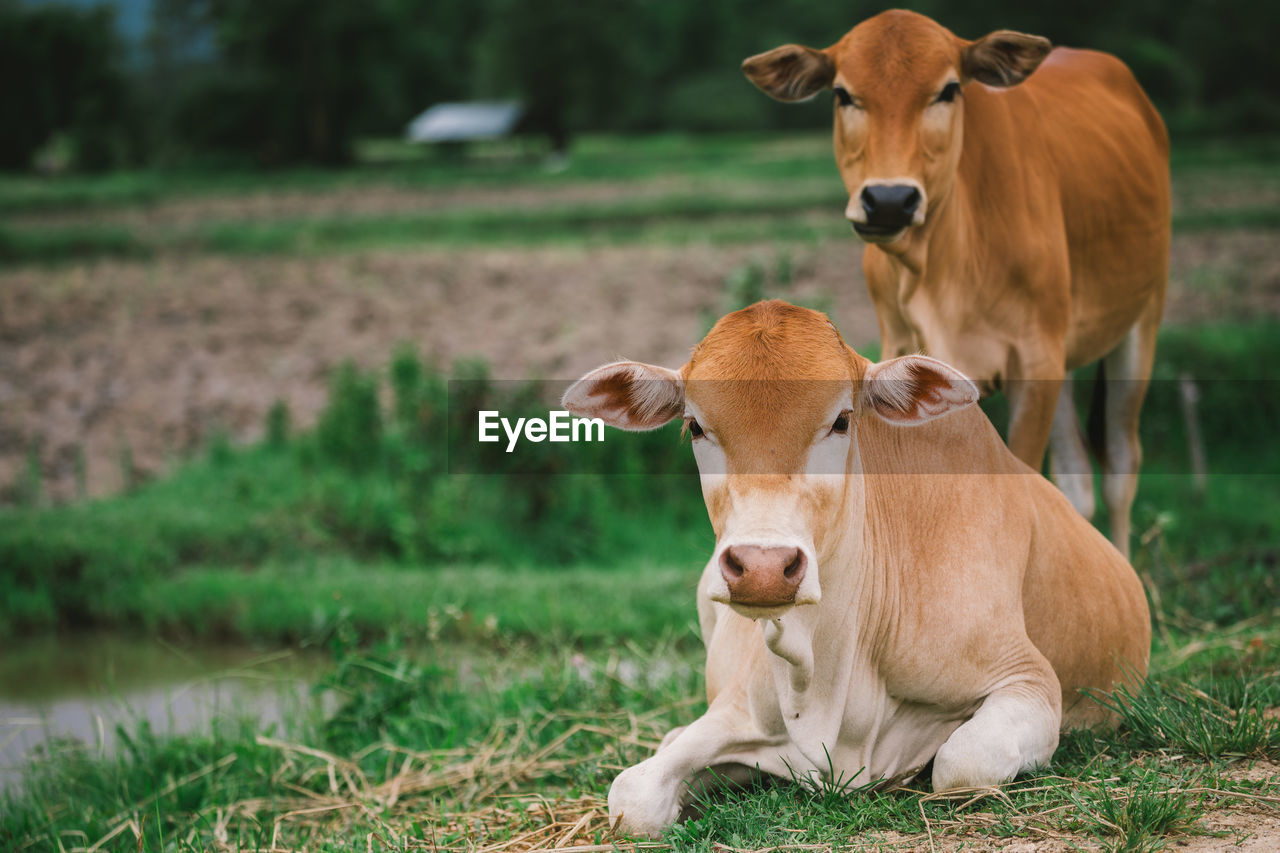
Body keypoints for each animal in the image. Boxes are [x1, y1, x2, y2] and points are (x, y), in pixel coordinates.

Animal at [563, 300, 1152, 835]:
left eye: (842, 420)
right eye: (695, 426)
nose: (762, 567)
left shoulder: (1028, 679)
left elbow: (960, 765)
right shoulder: (736, 711)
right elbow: (632, 797)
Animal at [742, 13, 1172, 558]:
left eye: (948, 89)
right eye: (843, 94)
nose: (889, 200)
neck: (940, 267)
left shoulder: (1034, 362)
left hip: (1140, 323)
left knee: (1119, 465)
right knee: (1077, 485)